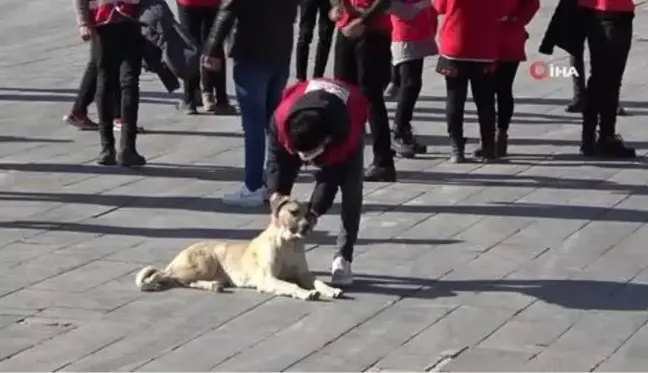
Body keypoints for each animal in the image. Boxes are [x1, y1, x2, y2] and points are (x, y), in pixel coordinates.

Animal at [133, 198, 344, 300]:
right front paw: (304, 293)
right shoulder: (269, 279)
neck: (289, 243)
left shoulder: (303, 274)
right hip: (202, 265)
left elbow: (318, 282)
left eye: (310, 215)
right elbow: (290, 285)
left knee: (182, 281)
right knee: (165, 275)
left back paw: (213, 285)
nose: (307, 227)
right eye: (294, 212)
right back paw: (150, 283)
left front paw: (330, 289)